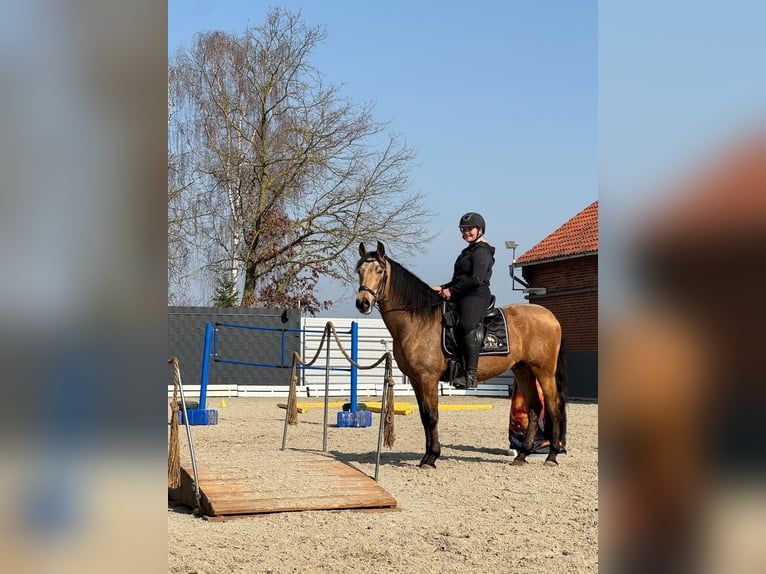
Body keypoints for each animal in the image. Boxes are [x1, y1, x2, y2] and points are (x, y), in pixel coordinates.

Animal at [355, 241, 567, 468]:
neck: (418, 320)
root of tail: (550, 316)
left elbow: (431, 416)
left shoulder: (428, 378)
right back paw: (522, 455)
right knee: (535, 407)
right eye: (359, 271)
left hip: (544, 371)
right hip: (523, 370)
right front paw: (428, 455)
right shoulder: (415, 379)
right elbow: (424, 416)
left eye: (379, 270)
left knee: (553, 407)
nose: (363, 303)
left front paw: (431, 457)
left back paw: (552, 456)